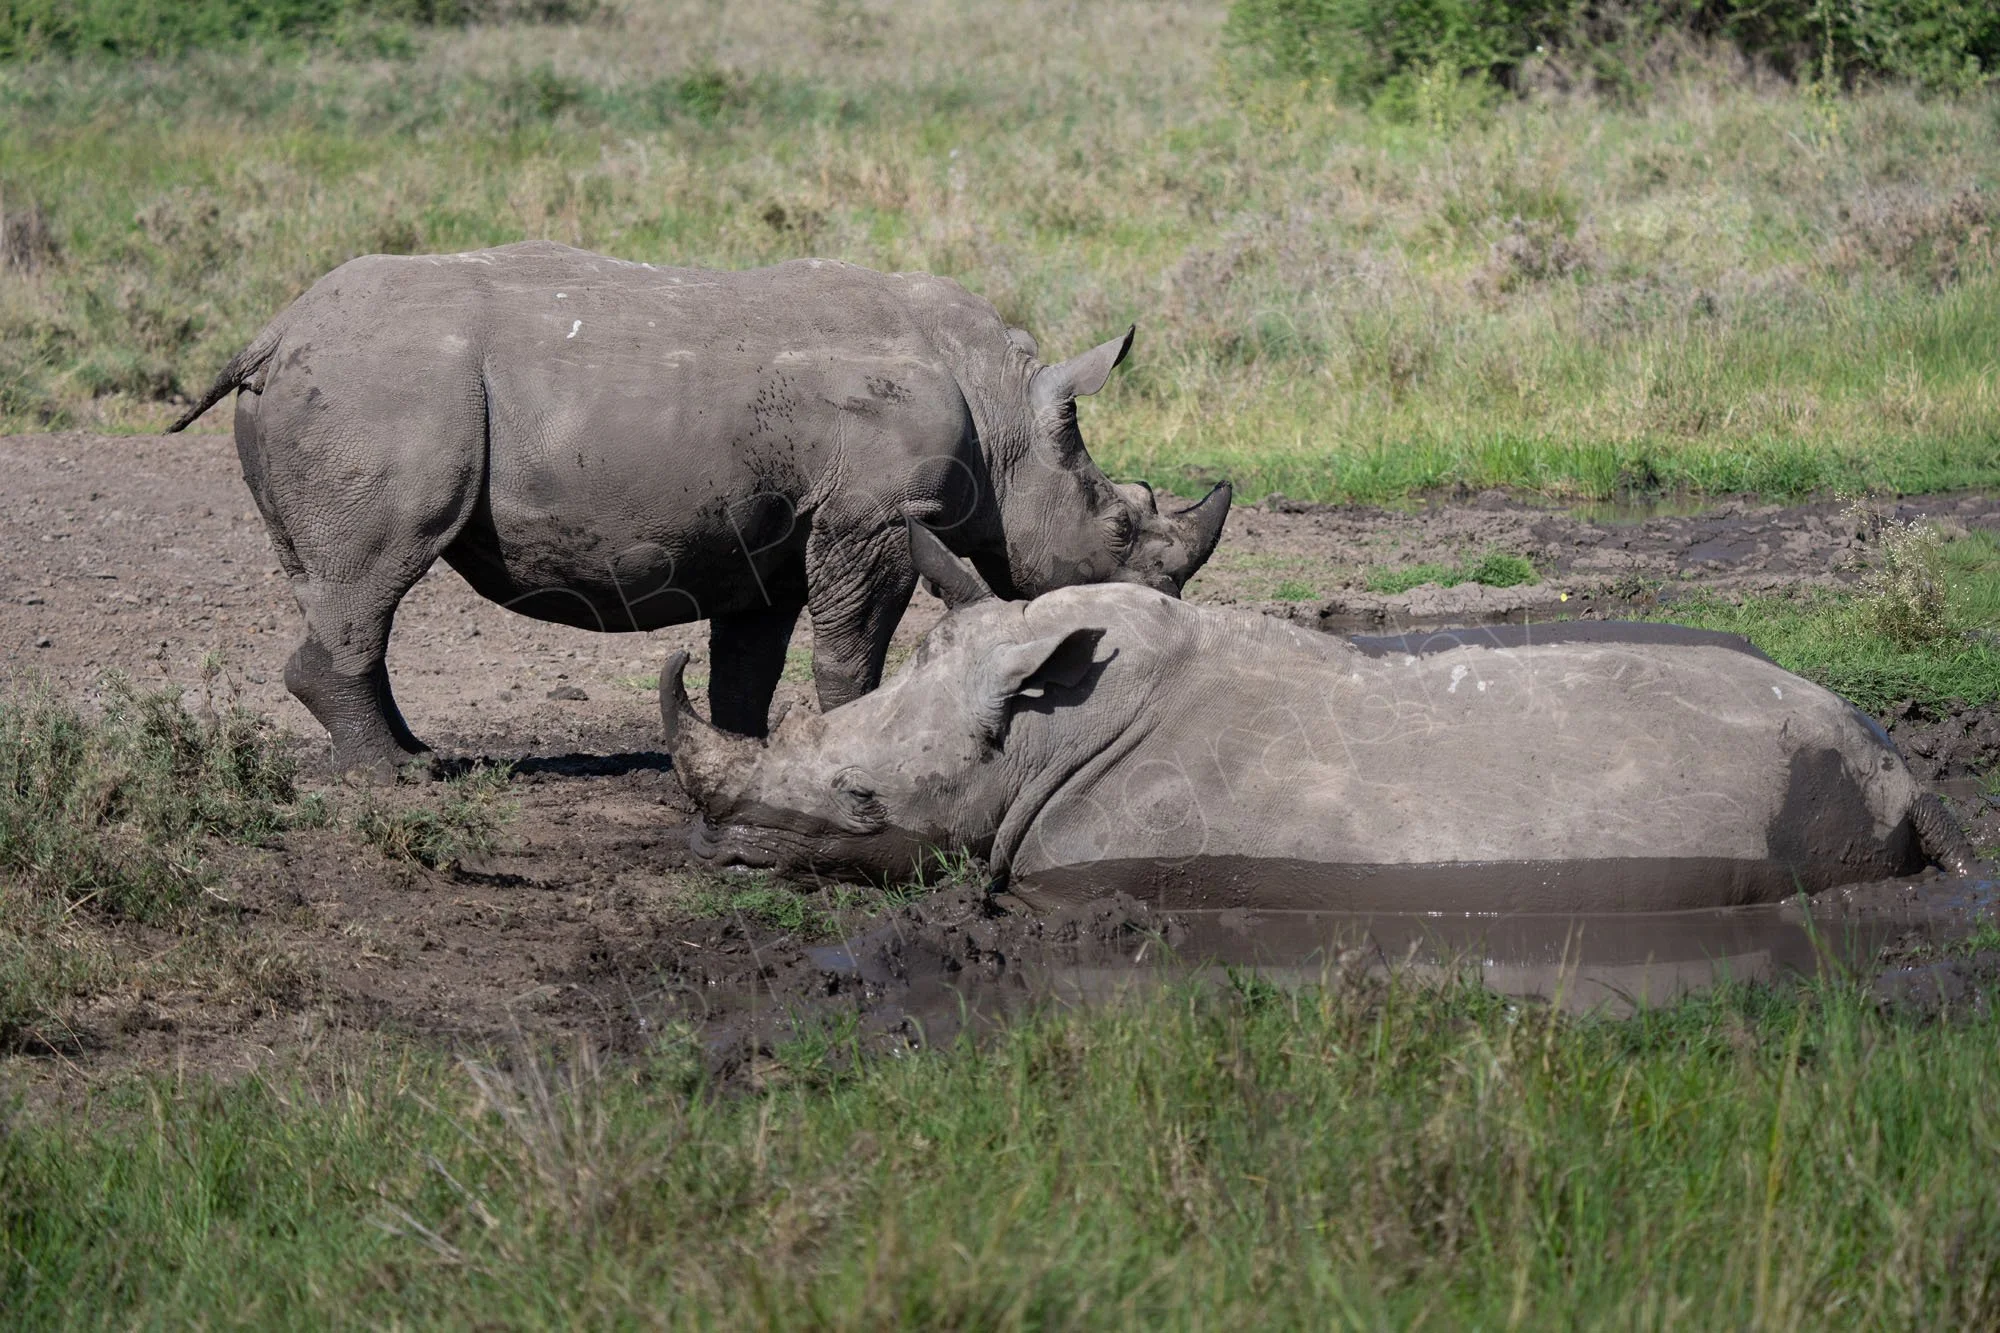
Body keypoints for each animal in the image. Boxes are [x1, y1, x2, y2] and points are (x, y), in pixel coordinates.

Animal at [167, 241, 1229, 774]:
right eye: (1120, 525)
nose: (1164, 607)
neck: (1004, 413)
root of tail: (273, 331)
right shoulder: (874, 515)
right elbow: (852, 647)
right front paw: (851, 731)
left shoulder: (774, 532)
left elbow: (747, 661)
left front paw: (743, 752)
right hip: (381, 390)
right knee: (377, 570)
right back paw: (392, 782)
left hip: (351, 385)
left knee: (341, 586)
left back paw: (415, 755)